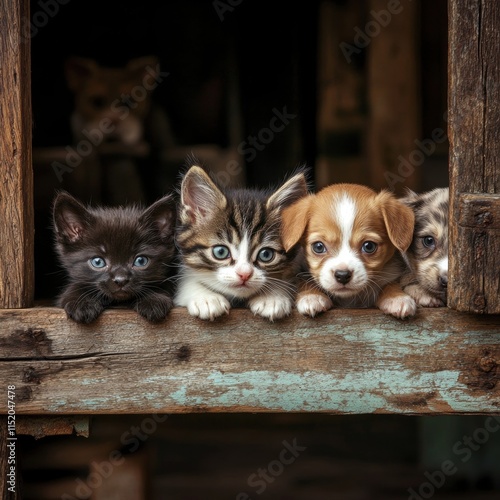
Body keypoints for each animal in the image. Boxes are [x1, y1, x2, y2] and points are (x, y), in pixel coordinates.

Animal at [284, 185, 416, 320]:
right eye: (318, 247)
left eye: (369, 246)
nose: (342, 275)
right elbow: (304, 281)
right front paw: (312, 296)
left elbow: (390, 283)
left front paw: (397, 297)